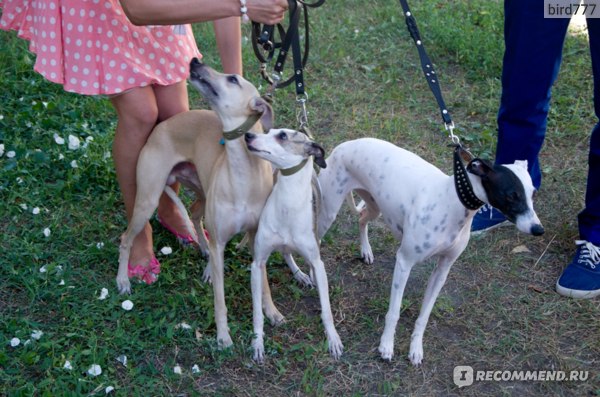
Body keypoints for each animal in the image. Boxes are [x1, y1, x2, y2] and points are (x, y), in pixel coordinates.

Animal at [115, 60, 304, 348]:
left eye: (233, 79)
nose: (195, 61)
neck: (243, 173)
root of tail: (161, 126)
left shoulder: (257, 238)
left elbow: (263, 283)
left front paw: (272, 312)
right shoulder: (223, 242)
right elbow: (219, 298)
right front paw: (223, 336)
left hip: (201, 191)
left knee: (194, 216)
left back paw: (201, 251)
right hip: (148, 197)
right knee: (127, 237)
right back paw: (123, 279)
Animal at [243, 129, 342, 362]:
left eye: (282, 135)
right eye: (268, 131)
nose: (248, 135)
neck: (288, 203)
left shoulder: (316, 259)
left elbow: (326, 309)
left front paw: (333, 339)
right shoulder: (257, 263)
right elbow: (258, 313)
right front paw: (257, 343)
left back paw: (305, 275)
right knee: (287, 252)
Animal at [318, 137, 544, 366]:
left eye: (533, 193)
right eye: (512, 195)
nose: (538, 229)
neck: (452, 203)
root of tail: (347, 143)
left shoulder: (442, 270)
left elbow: (424, 315)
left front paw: (416, 348)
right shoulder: (404, 262)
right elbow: (394, 311)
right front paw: (387, 345)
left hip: (374, 206)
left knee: (362, 218)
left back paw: (365, 250)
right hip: (328, 212)